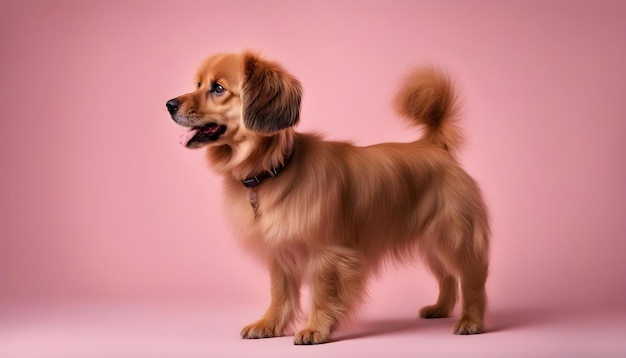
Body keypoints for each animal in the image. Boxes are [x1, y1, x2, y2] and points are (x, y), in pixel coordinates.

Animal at [166, 51, 488, 346]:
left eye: (218, 88)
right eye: (197, 84)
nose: (170, 104)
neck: (276, 169)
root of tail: (435, 146)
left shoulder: (328, 255)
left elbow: (323, 293)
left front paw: (315, 329)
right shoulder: (279, 253)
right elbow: (280, 293)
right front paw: (269, 324)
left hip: (455, 237)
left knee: (472, 276)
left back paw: (471, 320)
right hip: (431, 242)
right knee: (447, 276)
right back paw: (441, 308)